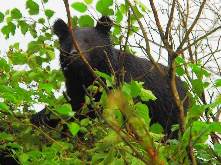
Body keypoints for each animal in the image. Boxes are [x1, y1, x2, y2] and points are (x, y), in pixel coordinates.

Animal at [31, 16, 187, 137]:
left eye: (88, 41)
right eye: (68, 43)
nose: (75, 55)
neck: (87, 76)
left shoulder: (123, 85)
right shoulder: (76, 86)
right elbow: (73, 108)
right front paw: (39, 117)